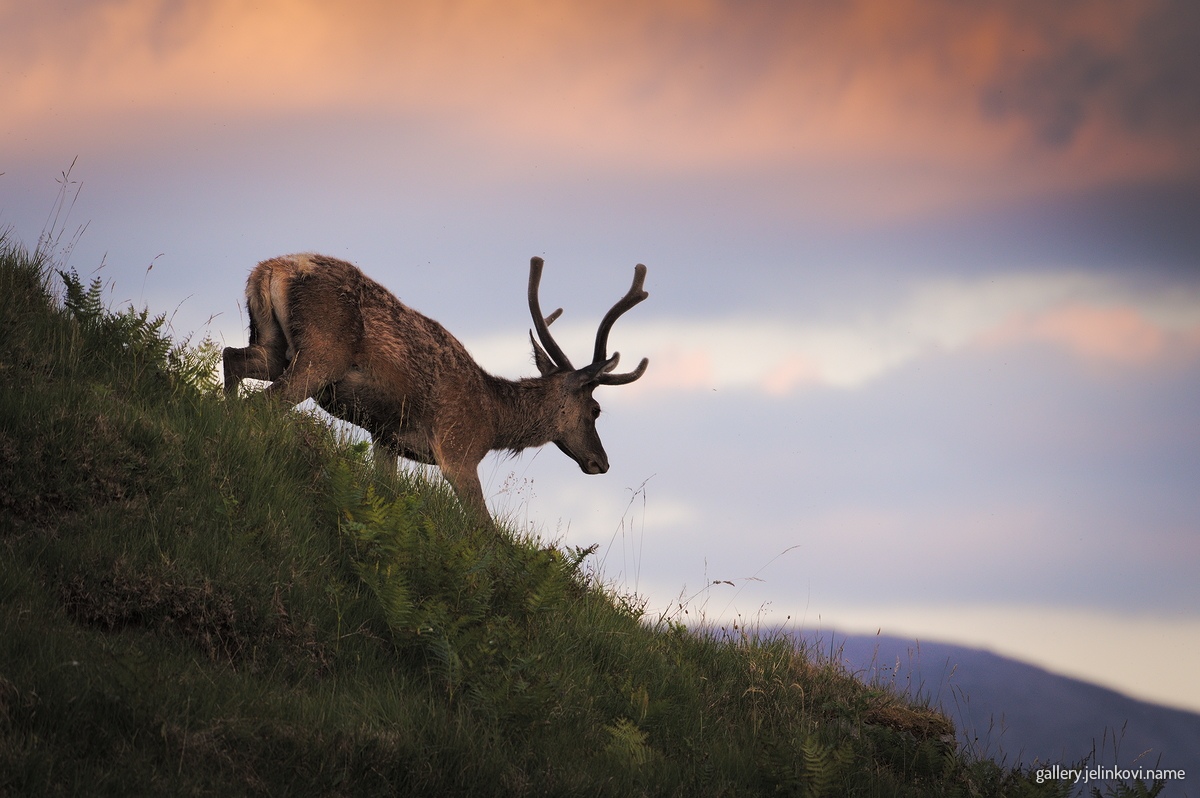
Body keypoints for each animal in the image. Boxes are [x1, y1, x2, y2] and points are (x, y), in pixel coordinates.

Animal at [222, 253, 649, 525]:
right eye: (595, 410)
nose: (602, 462)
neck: (493, 421)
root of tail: (270, 269)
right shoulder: (458, 450)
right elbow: (484, 528)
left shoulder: (385, 438)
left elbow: (386, 491)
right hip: (320, 355)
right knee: (258, 406)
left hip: (273, 347)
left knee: (231, 357)